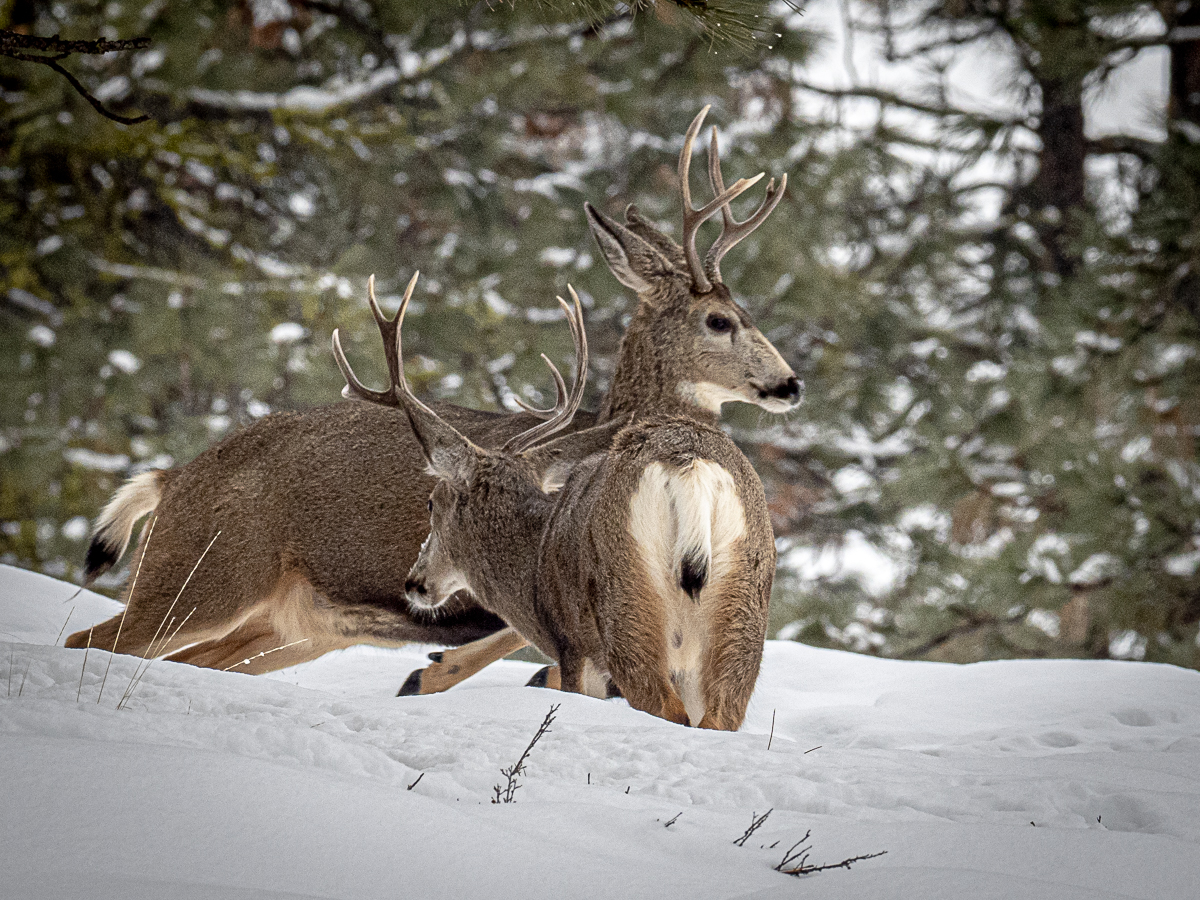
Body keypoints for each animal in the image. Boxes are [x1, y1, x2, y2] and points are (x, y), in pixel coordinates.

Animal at [388, 283, 772, 734]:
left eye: (432, 502)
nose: (415, 582)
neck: (533, 563)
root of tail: (688, 462)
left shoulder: (572, 645)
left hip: (626, 598)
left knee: (664, 706)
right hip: (744, 606)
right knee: (720, 717)